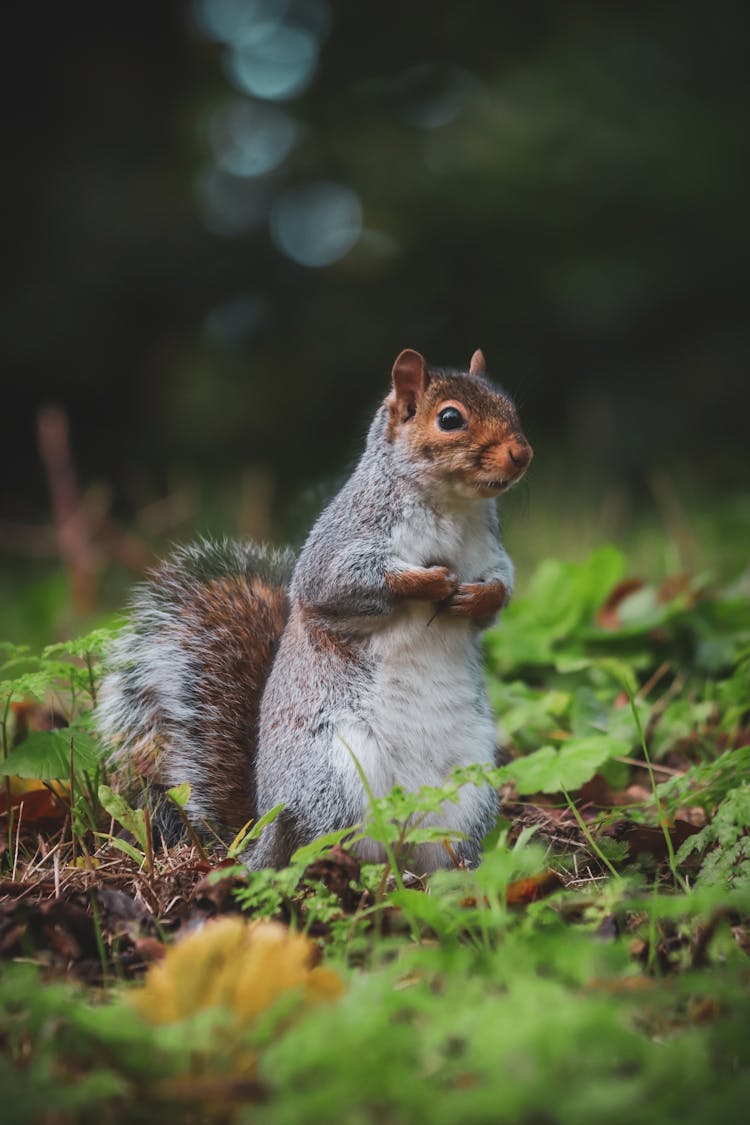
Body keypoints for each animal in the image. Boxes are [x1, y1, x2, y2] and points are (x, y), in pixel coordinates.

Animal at [96, 348, 532, 868]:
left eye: (510, 405)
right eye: (450, 418)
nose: (523, 453)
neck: (452, 506)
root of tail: (261, 832)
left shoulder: (492, 554)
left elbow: (498, 594)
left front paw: (477, 597)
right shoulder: (342, 545)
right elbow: (339, 586)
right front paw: (430, 581)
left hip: (468, 789)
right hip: (333, 773)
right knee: (316, 843)